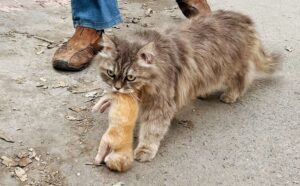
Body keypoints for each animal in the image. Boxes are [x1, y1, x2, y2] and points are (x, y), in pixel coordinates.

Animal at [95, 9, 280, 161]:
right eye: (111, 73)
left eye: (130, 77)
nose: (117, 87)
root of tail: (243, 17)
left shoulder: (160, 105)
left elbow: (152, 130)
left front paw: (145, 149)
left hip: (232, 67)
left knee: (242, 79)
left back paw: (231, 95)